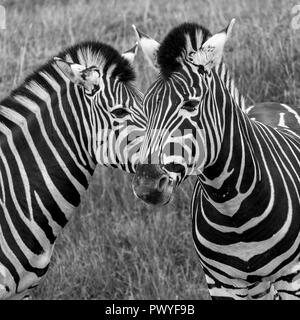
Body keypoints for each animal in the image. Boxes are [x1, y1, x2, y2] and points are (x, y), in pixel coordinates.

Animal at [132, 20, 300, 300]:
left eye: (190, 104)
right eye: (146, 108)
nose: (147, 185)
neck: (233, 211)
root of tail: (269, 104)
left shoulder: (292, 276)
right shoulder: (220, 284)